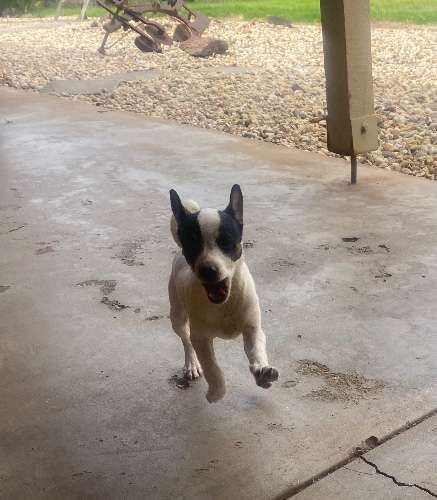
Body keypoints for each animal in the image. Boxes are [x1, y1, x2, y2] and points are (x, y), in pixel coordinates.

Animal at [168, 184, 279, 402]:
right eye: (192, 244)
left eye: (226, 242)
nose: (207, 270)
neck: (224, 305)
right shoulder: (201, 339)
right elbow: (212, 367)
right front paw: (216, 391)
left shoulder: (252, 330)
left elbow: (256, 351)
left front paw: (261, 372)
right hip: (177, 316)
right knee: (186, 341)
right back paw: (192, 364)